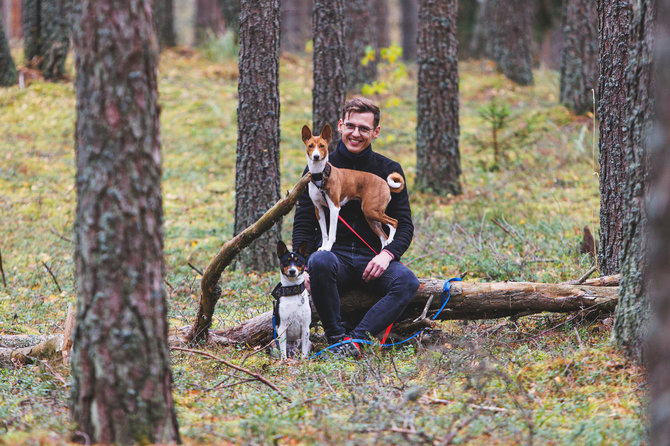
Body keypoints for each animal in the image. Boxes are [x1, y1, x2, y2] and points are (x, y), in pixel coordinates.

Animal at [304, 123, 404, 253]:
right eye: (310, 146)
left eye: (322, 146)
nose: (316, 156)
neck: (320, 175)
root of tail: (385, 184)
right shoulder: (318, 209)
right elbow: (324, 233)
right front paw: (323, 247)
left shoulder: (334, 208)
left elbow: (331, 233)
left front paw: (328, 248)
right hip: (371, 217)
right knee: (383, 237)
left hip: (371, 210)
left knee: (394, 222)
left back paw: (391, 239)